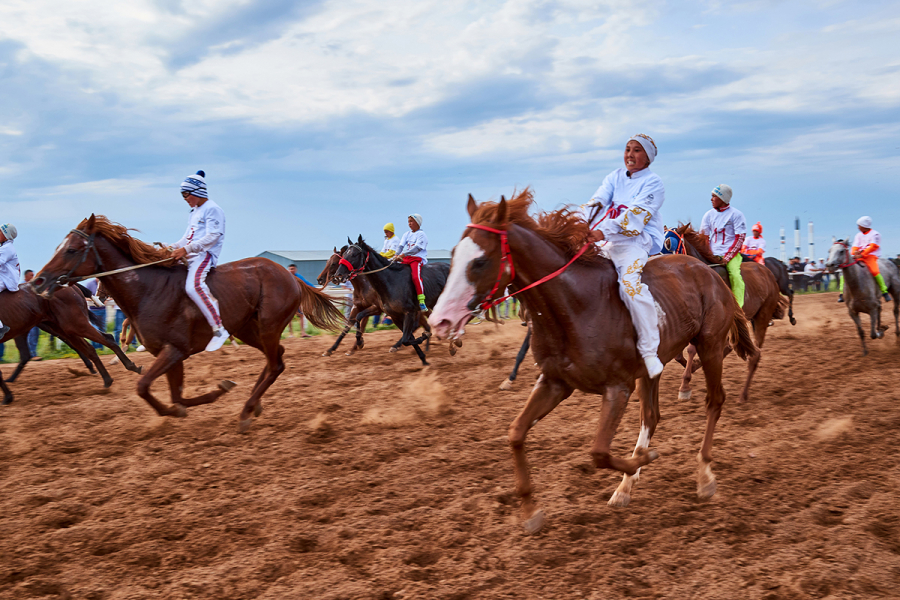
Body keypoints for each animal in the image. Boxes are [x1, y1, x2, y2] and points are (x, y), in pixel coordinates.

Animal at [0, 282, 142, 404]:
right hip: (63, 327)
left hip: (73, 324)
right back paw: (108, 378)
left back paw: (129, 367)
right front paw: (8, 396)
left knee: (106, 339)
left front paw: (7, 397)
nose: (101, 296)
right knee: (92, 347)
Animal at [35, 216, 344, 432]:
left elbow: (144, 387)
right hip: (247, 329)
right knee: (274, 360)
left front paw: (209, 395)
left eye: (72, 249)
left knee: (276, 364)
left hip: (267, 327)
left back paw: (246, 411)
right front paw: (214, 392)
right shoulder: (170, 354)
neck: (147, 290)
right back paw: (254, 404)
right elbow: (177, 396)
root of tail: (289, 275)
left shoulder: (175, 350)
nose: (39, 280)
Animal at [332, 234, 450, 366]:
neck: (390, 281)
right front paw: (423, 359)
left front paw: (423, 338)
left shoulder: (409, 312)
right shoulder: (394, 315)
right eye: (344, 254)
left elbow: (406, 339)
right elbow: (408, 338)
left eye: (354, 254)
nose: (338, 276)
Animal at [428, 190, 760, 532]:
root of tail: (708, 271)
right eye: (453, 255)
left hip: (710, 345)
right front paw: (531, 510)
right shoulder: (555, 382)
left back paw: (704, 475)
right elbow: (516, 433)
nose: (439, 321)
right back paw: (628, 484)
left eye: (479, 261)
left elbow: (598, 452)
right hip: (652, 369)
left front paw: (643, 461)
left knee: (714, 401)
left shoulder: (618, 388)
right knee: (651, 416)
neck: (576, 305)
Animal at [668, 225, 788, 404]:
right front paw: (692, 370)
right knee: (734, 344)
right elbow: (680, 353)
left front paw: (685, 386)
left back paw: (743, 395)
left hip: (762, 315)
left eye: (669, 243)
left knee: (754, 354)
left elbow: (691, 349)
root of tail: (769, 274)